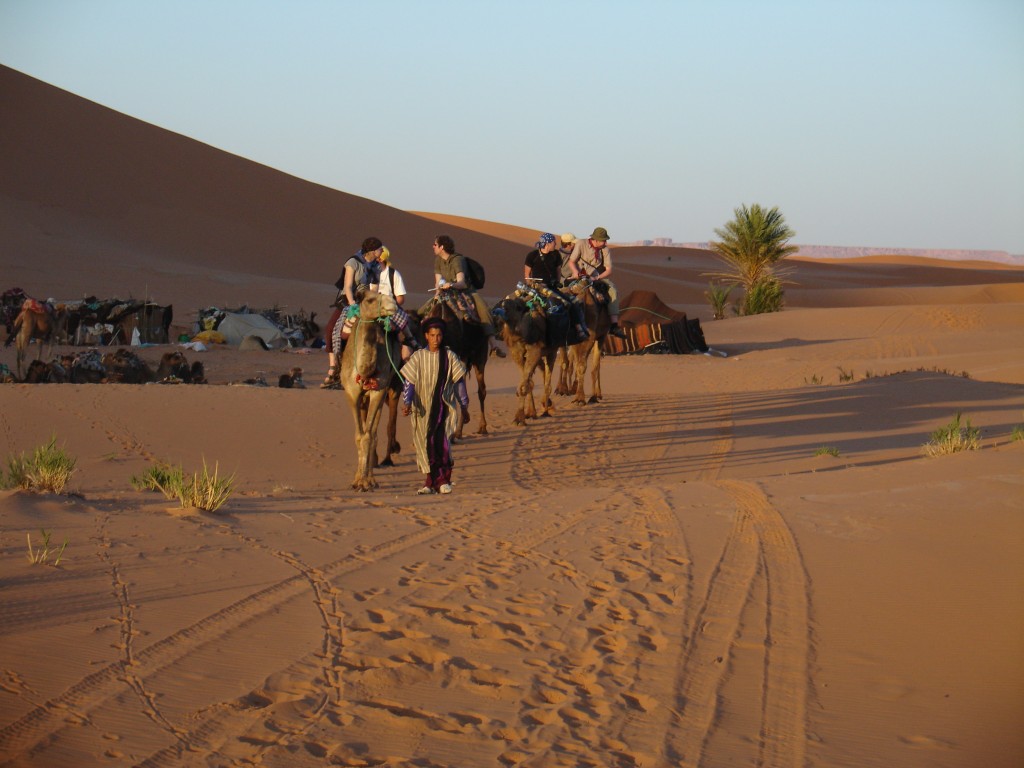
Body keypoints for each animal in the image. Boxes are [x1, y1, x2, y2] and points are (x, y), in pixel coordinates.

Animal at [337, 288, 397, 493]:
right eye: (370, 300)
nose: (393, 305)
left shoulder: (378, 391)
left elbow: (368, 436)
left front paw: (365, 482)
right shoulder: (351, 393)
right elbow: (358, 435)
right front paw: (357, 480)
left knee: (374, 433)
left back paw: (371, 477)